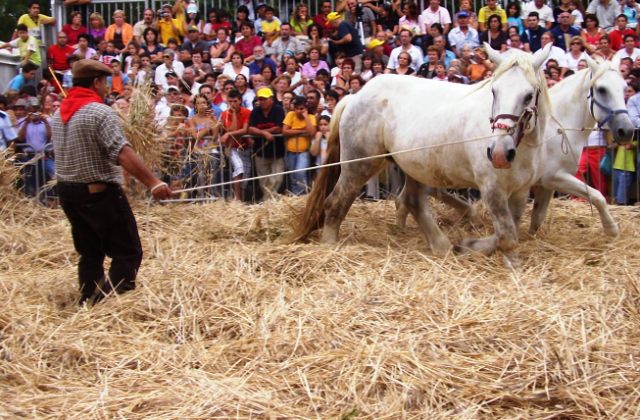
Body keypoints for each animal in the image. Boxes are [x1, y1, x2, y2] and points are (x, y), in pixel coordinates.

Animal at [292, 45, 548, 262]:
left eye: (529, 95)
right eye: (494, 91)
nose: (499, 153)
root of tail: (355, 96)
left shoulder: (520, 192)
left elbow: (510, 229)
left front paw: (468, 245)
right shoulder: (491, 188)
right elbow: (507, 235)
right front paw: (501, 259)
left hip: (413, 167)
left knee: (412, 201)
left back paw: (442, 246)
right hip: (359, 164)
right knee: (336, 202)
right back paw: (329, 247)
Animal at [396, 57, 636, 238]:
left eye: (625, 87)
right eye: (602, 89)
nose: (626, 130)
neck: (556, 127)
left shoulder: (545, 184)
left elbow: (538, 216)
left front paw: (530, 236)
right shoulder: (556, 177)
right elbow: (597, 196)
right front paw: (612, 230)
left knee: (408, 198)